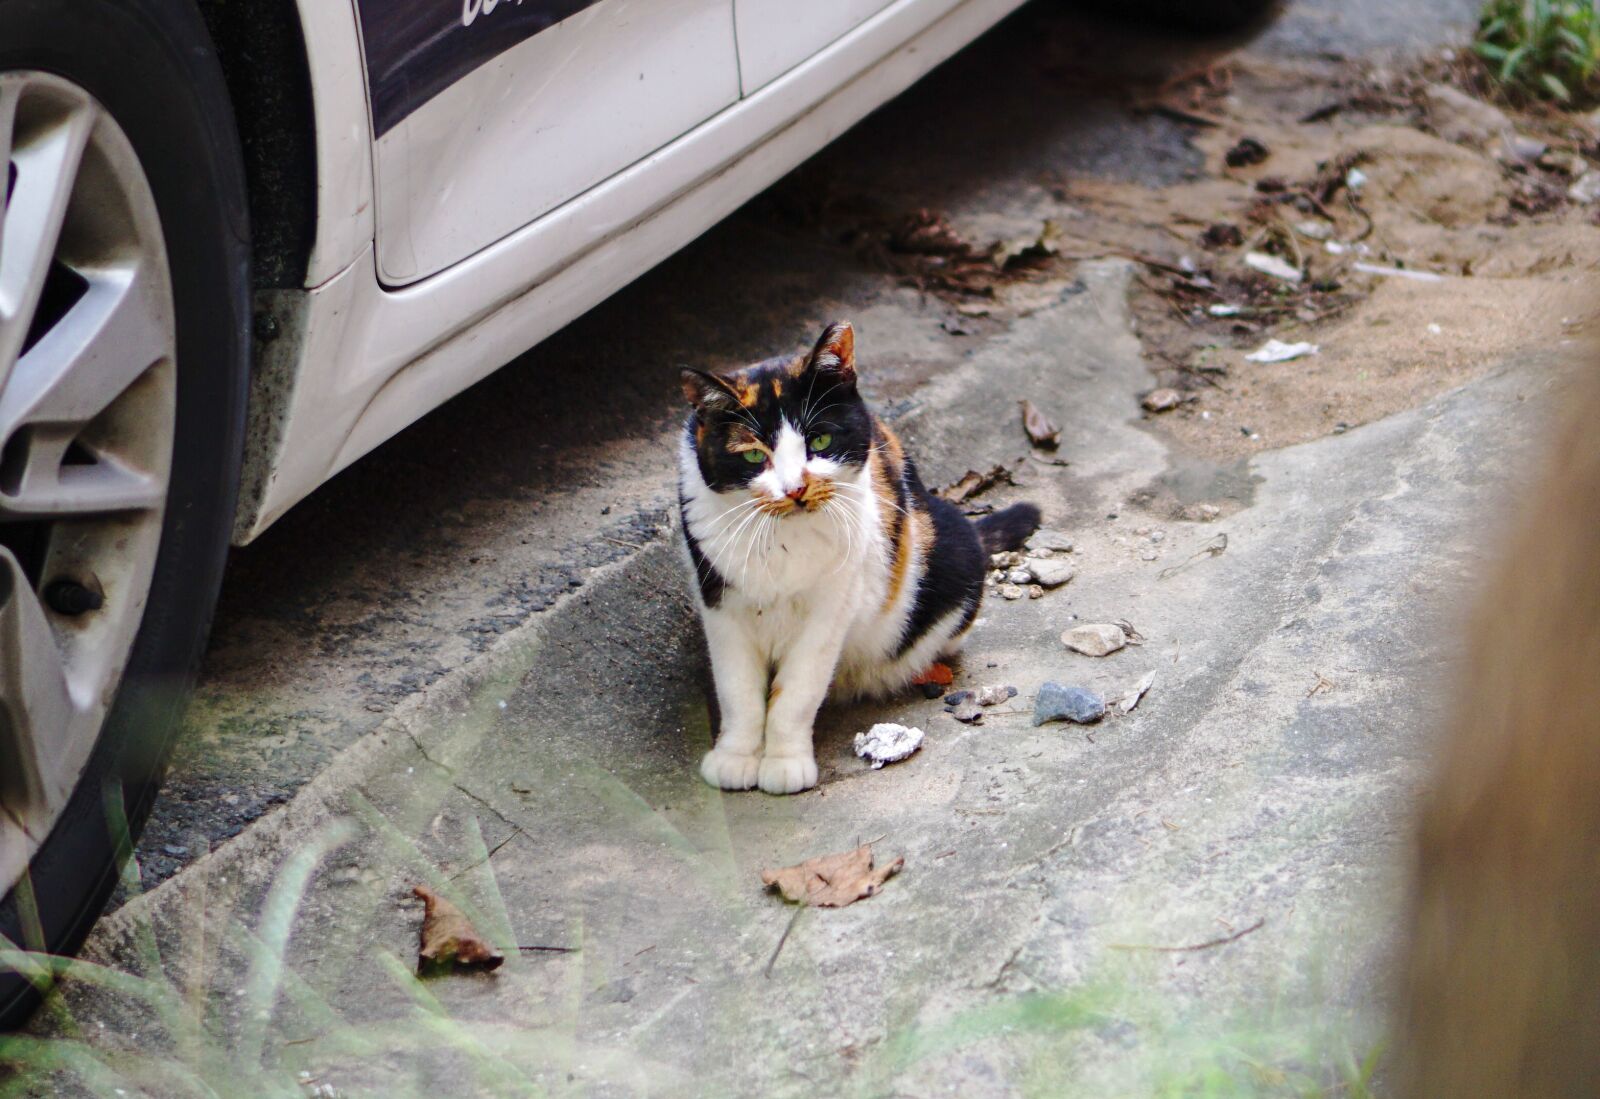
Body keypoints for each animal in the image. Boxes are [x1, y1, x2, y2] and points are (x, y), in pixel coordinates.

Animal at [675, 323, 1036, 796]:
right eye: (753, 454)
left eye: (820, 440)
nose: (795, 488)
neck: (783, 539)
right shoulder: (721, 605)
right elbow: (737, 690)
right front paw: (735, 757)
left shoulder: (831, 609)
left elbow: (797, 691)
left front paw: (785, 762)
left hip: (954, 553)